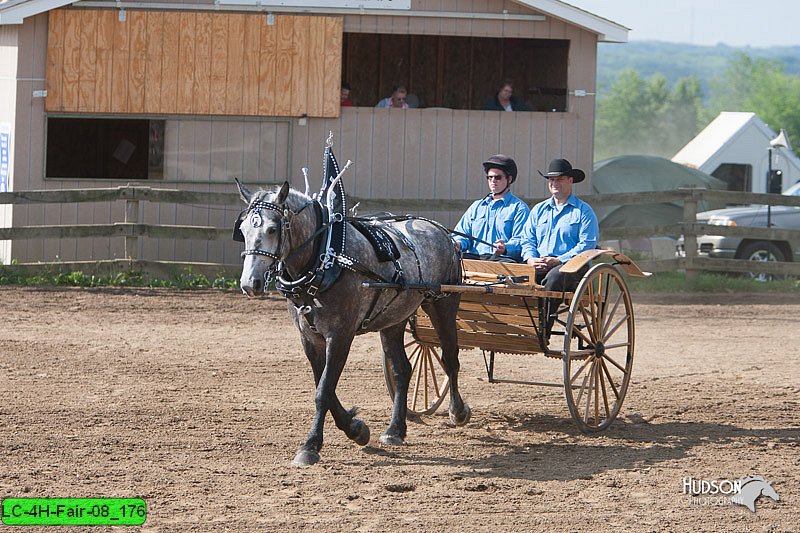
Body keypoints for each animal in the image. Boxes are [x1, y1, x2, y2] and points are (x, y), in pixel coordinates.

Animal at [234, 181, 468, 464]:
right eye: (243, 229)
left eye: (272, 228)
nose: (250, 284)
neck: (326, 258)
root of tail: (440, 230)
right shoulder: (309, 338)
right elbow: (324, 385)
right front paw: (356, 428)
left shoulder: (340, 335)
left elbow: (324, 390)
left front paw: (310, 446)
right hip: (394, 319)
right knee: (402, 369)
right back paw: (395, 429)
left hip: (443, 304)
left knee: (450, 359)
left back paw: (458, 411)